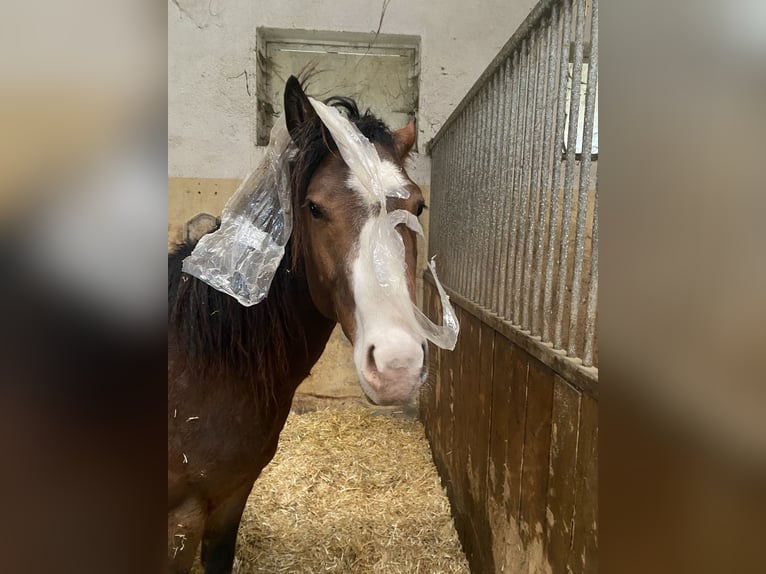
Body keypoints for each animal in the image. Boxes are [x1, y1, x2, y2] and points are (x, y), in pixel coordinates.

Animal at [168, 76, 427, 573]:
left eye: (418, 207)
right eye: (314, 207)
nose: (397, 365)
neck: (205, 361)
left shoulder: (230, 498)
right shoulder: (179, 521)